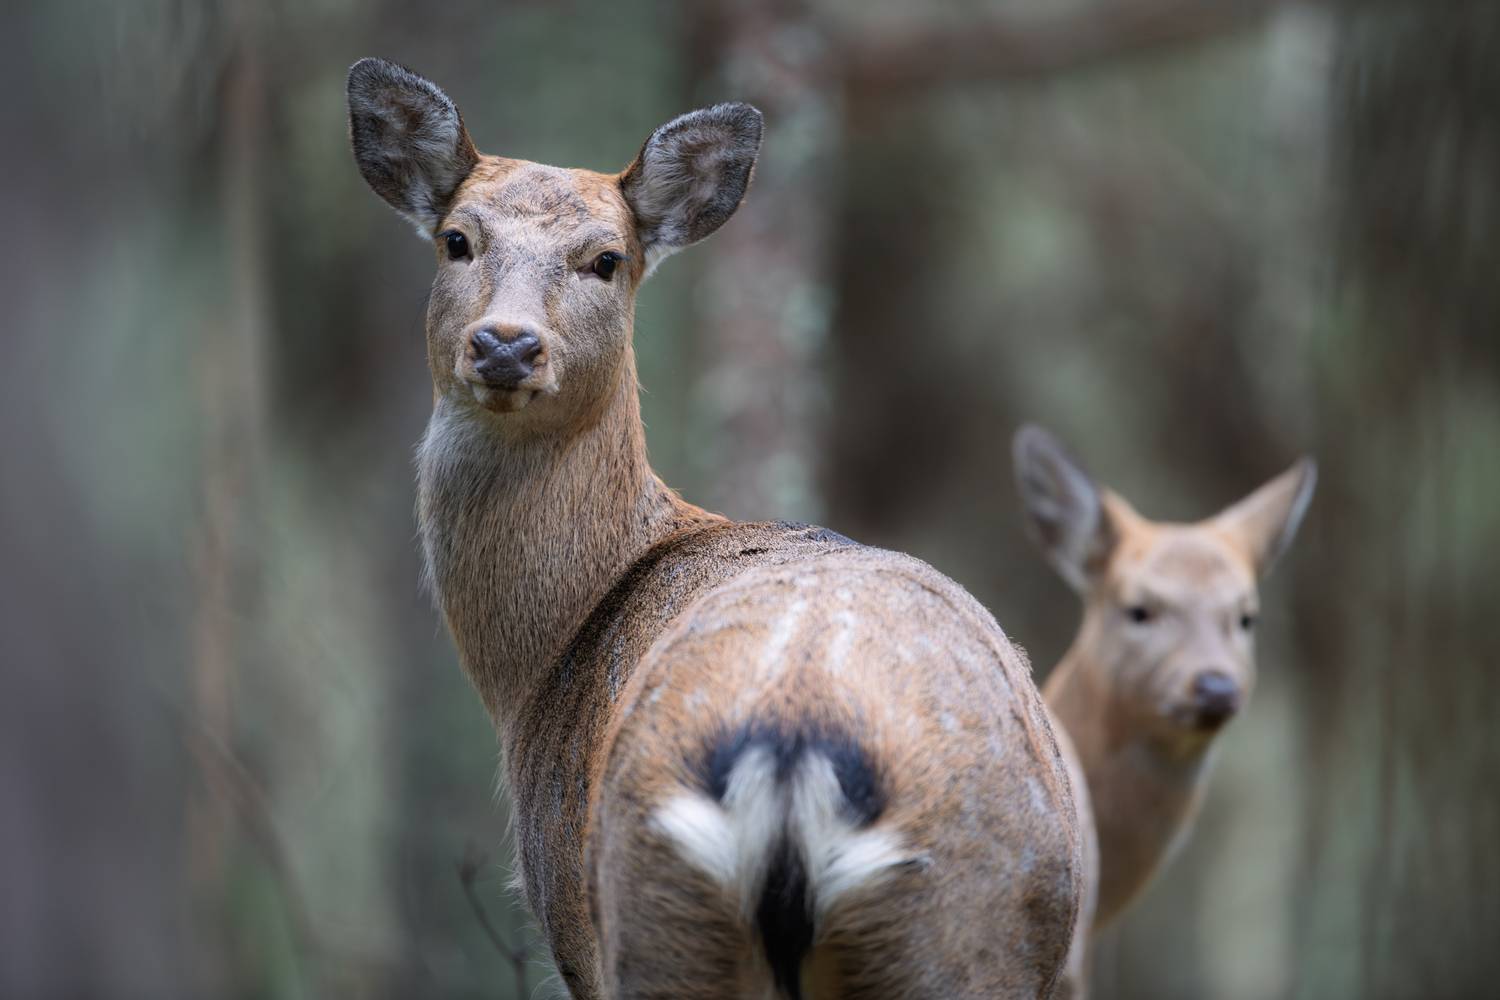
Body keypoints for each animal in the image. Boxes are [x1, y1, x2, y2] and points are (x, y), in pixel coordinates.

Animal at [347, 58, 1084, 999]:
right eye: (455, 240)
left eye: (607, 259)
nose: (506, 345)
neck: (542, 667)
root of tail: (794, 752)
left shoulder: (570, 924)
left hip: (658, 909)